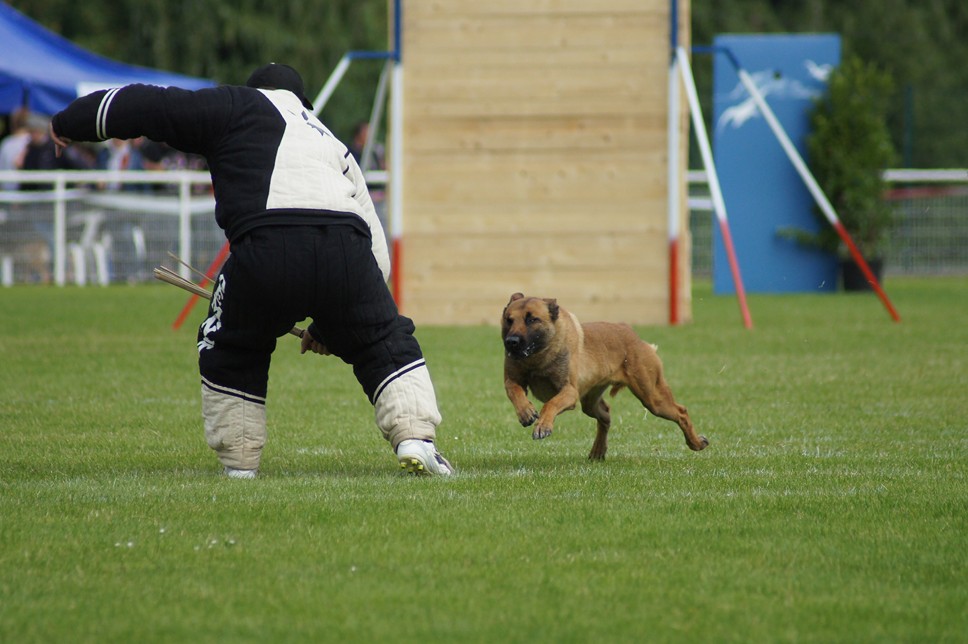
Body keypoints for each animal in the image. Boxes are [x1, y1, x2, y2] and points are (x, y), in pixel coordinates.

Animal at [502, 292, 708, 458]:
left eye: (532, 319)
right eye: (509, 320)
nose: (511, 341)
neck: (537, 358)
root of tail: (630, 332)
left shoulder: (569, 392)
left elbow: (550, 404)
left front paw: (543, 426)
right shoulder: (512, 379)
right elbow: (514, 391)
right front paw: (525, 411)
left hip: (653, 398)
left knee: (681, 412)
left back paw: (696, 443)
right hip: (590, 403)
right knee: (606, 415)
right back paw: (598, 451)